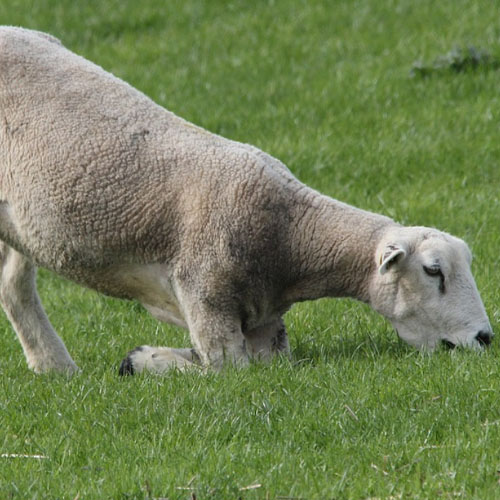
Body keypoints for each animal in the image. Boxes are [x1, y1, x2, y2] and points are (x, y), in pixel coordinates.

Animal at [0, 25, 492, 374]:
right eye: (433, 271)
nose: (486, 338)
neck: (291, 234)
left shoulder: (263, 320)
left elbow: (266, 364)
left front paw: (144, 359)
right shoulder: (206, 298)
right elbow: (225, 369)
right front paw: (142, 360)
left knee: (13, 285)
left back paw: (54, 367)